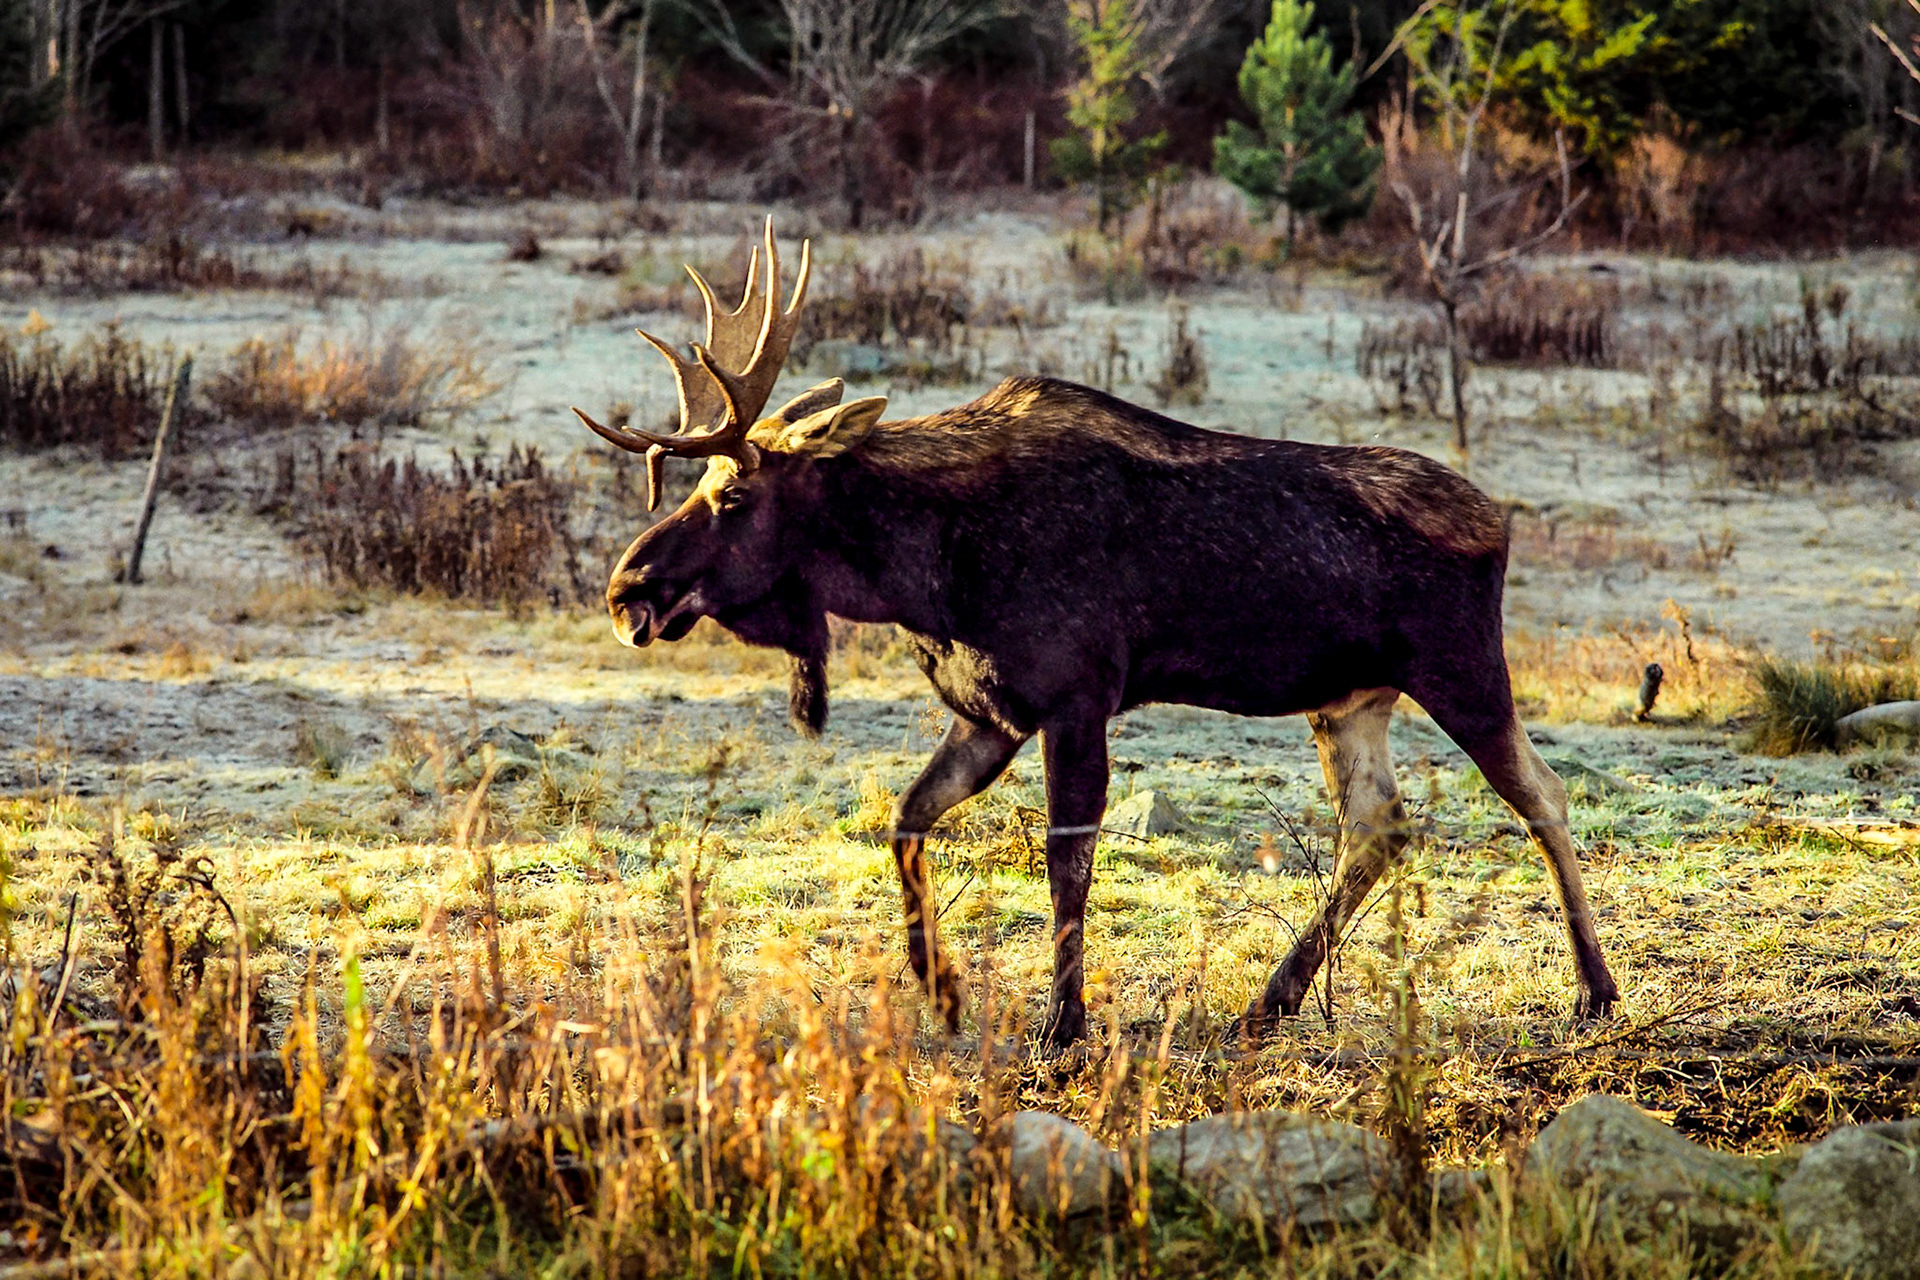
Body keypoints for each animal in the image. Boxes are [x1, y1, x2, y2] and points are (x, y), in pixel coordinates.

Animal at [572, 220, 1619, 1049]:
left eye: (733, 494)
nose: (627, 590)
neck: (923, 572)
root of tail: (1501, 522)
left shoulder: (1078, 696)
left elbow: (1065, 862)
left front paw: (1063, 1023)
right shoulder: (989, 710)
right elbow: (907, 821)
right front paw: (943, 994)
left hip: (1462, 669)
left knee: (1543, 795)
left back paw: (1594, 990)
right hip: (1352, 697)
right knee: (1380, 825)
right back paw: (1270, 1001)